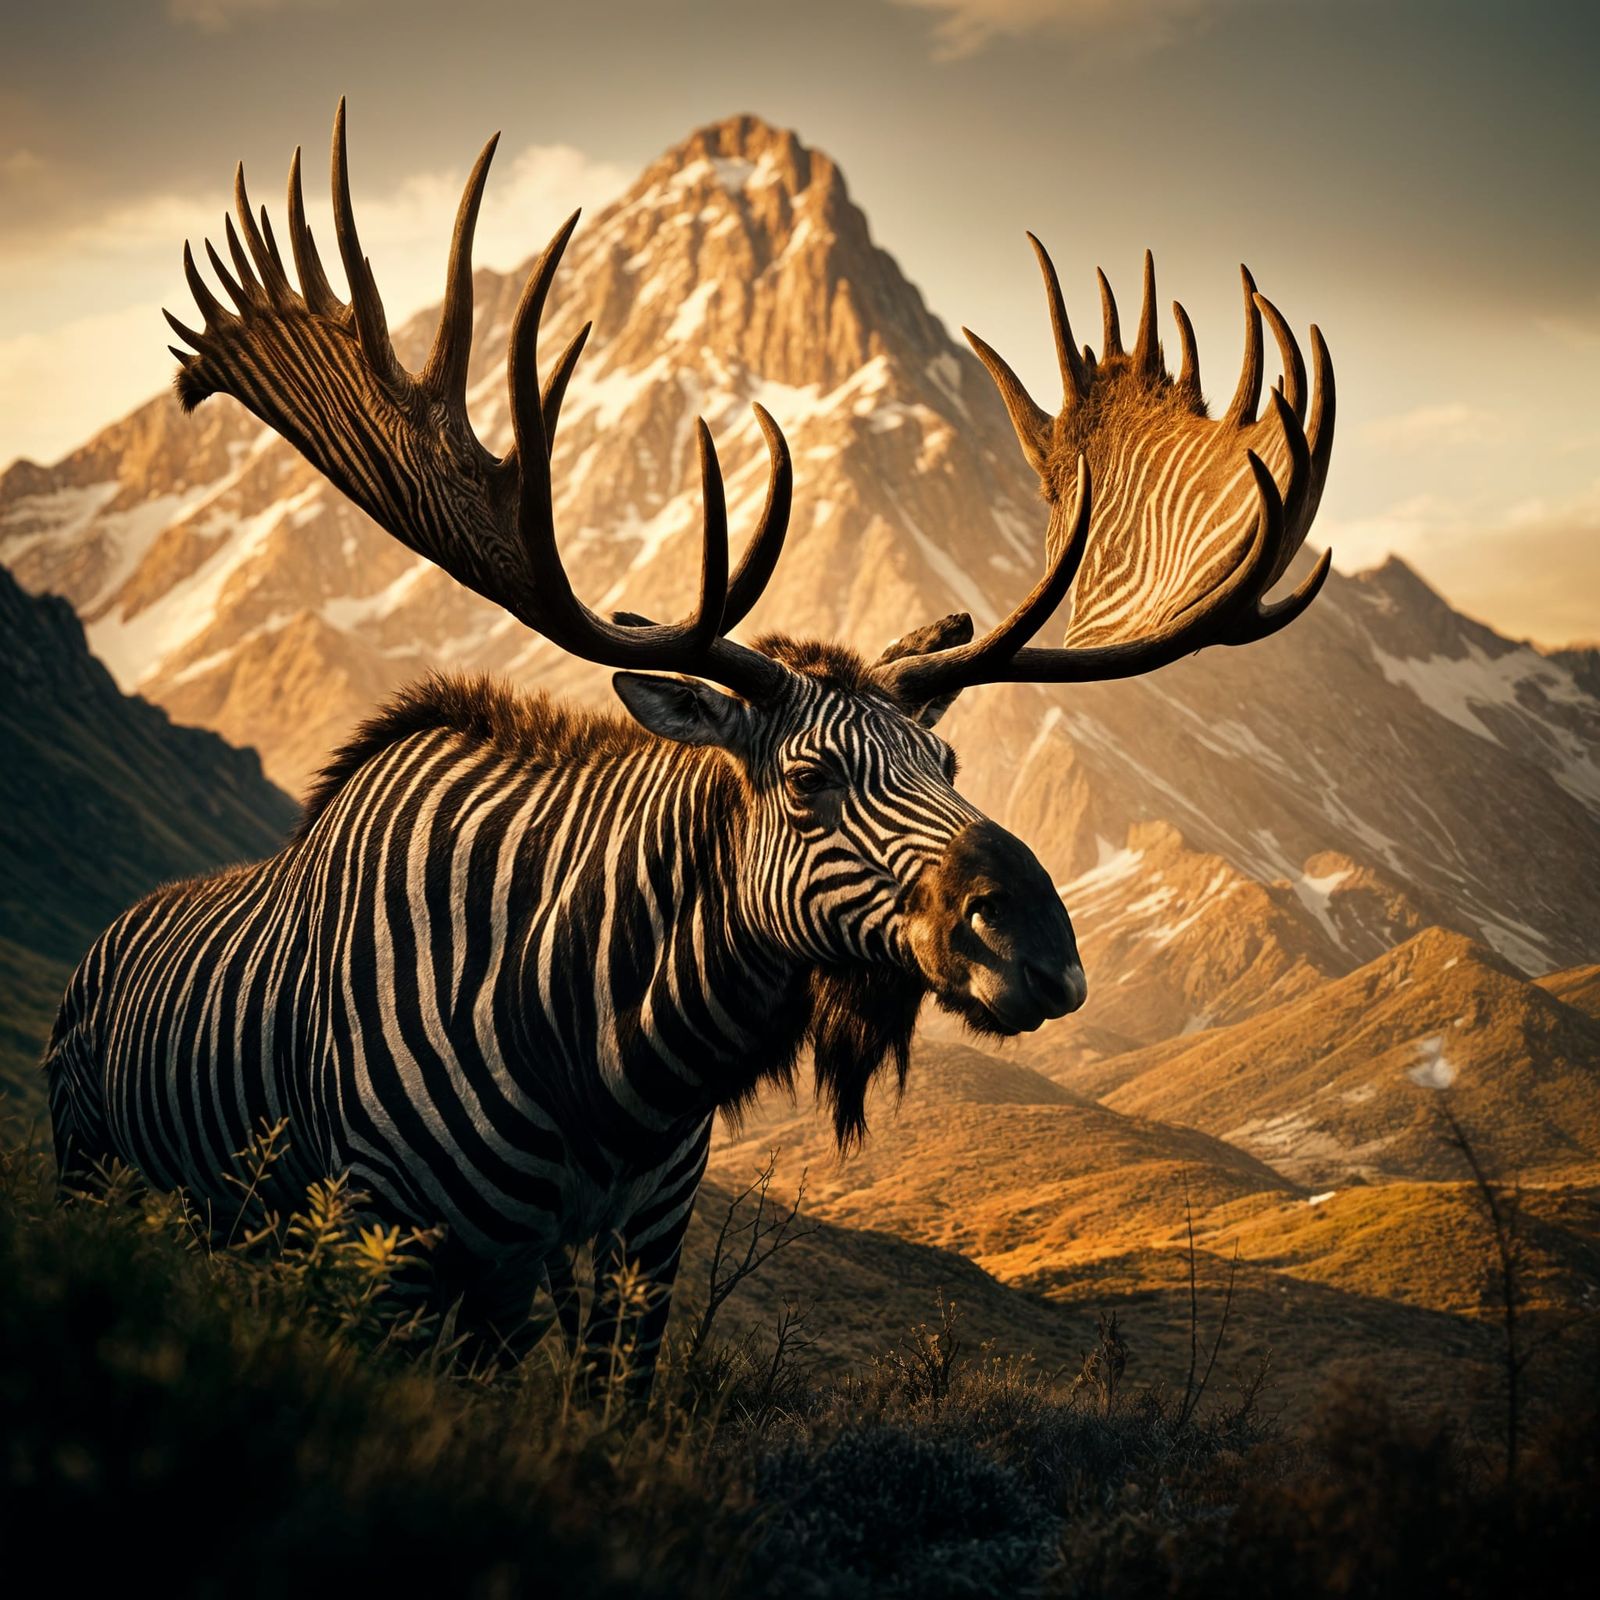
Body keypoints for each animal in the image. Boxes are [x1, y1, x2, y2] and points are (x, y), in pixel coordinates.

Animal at [46, 105, 1334, 1392]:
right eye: (806, 779)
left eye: (950, 766)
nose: (1041, 946)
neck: (612, 1061)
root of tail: (94, 953)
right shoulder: (391, 1240)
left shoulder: (634, 1249)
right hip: (96, 1168)